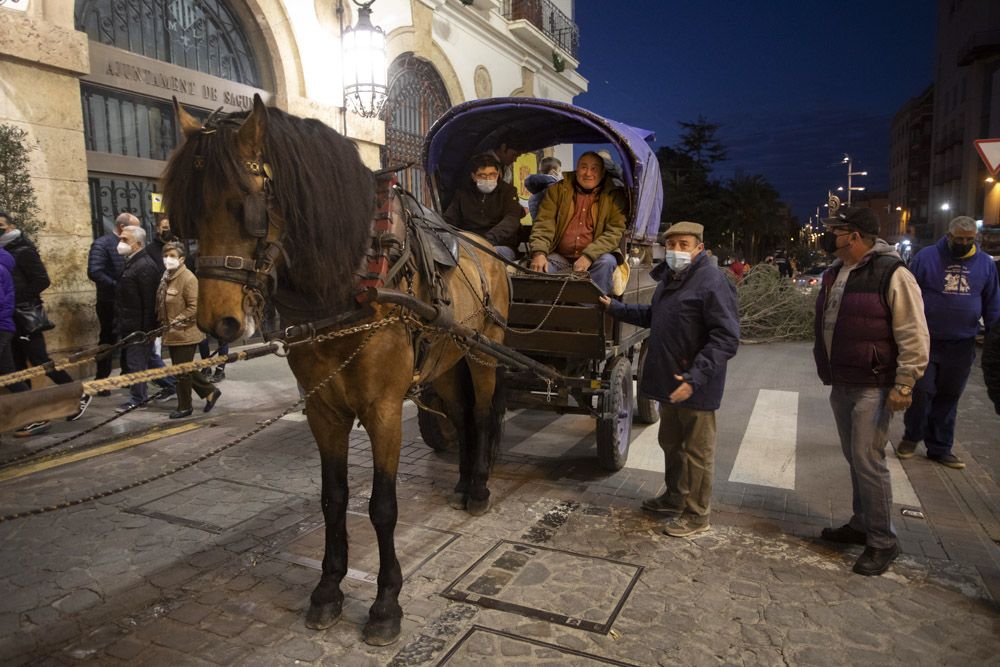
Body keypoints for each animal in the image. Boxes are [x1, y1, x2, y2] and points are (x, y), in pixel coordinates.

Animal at [164, 95, 512, 648]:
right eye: (186, 214)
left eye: (247, 208)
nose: (218, 323)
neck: (352, 283)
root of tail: (487, 251)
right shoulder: (323, 409)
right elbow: (333, 498)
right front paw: (328, 589)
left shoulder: (384, 409)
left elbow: (382, 506)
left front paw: (386, 604)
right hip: (443, 362)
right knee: (459, 415)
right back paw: (460, 483)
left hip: (483, 354)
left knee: (480, 415)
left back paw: (478, 489)